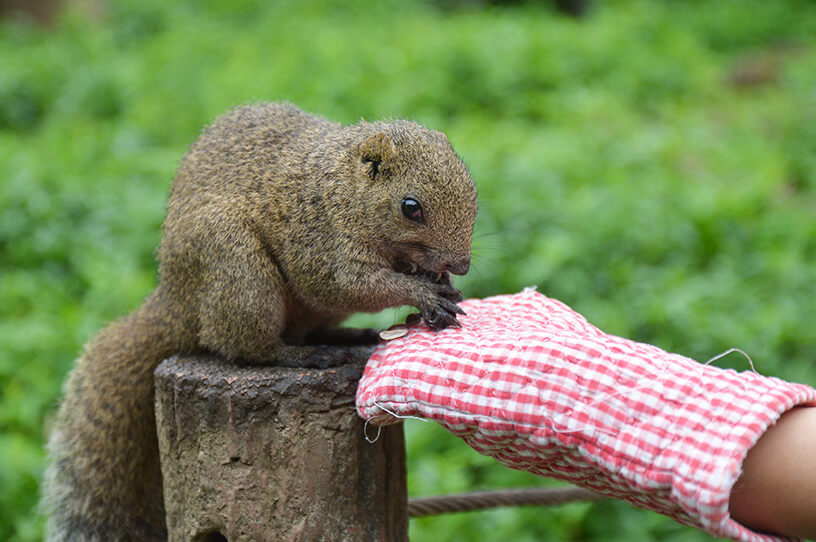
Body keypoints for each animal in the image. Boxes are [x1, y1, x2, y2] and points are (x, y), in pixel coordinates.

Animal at [41, 103, 478, 542]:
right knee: (245, 347)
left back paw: (346, 336)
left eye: (472, 191)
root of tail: (176, 299)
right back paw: (302, 357)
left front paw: (438, 282)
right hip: (238, 267)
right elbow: (342, 285)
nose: (461, 265)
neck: (343, 189)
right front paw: (422, 292)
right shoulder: (316, 237)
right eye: (411, 207)